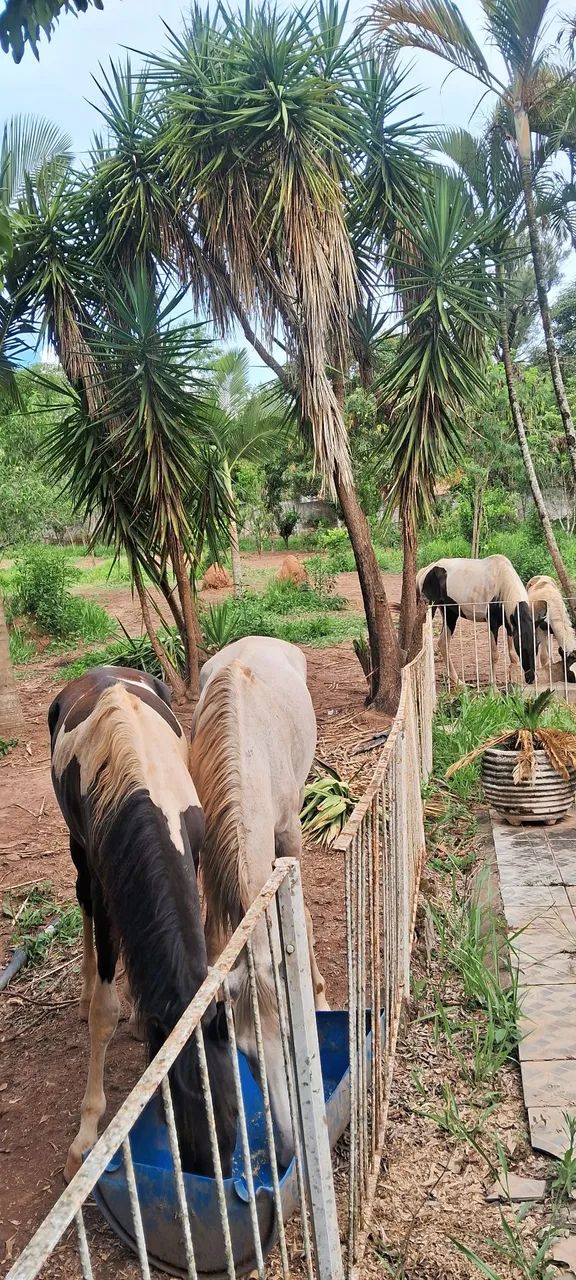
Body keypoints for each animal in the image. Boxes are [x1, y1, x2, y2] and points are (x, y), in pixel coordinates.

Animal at [48, 665, 237, 1183]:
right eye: (182, 1115)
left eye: (230, 1109)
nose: (211, 1169)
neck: (144, 793)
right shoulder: (104, 886)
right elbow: (103, 1014)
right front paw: (85, 1138)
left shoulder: (191, 856)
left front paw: (140, 1014)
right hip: (79, 854)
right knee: (83, 905)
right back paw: (86, 991)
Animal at [189, 636, 328, 1168]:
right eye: (245, 1055)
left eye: (293, 1034)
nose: (289, 1149)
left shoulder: (289, 836)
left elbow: (301, 917)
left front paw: (320, 991)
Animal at [416, 554, 546, 687]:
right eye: (522, 647)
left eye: (537, 644)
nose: (531, 678)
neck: (503, 584)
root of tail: (427, 570)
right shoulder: (493, 624)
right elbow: (494, 655)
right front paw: (493, 686)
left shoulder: (510, 626)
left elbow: (513, 655)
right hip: (430, 610)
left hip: (450, 614)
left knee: (443, 644)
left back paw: (458, 681)